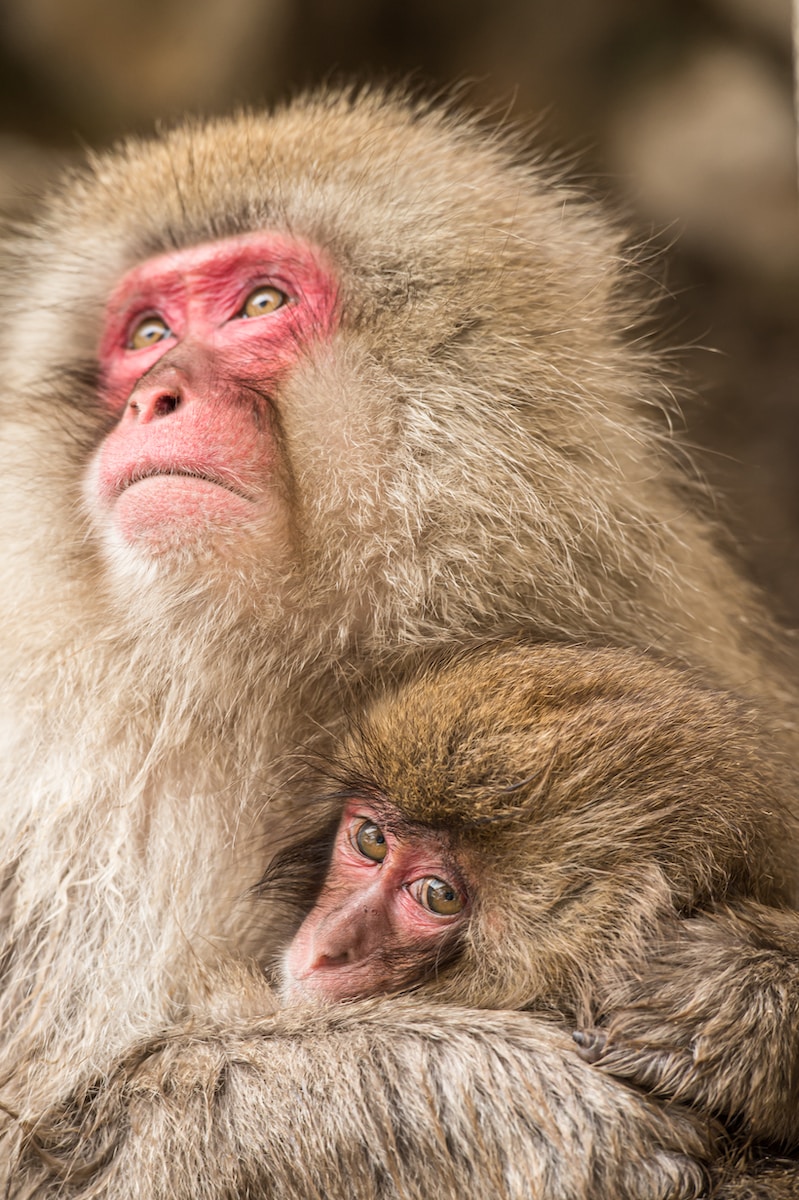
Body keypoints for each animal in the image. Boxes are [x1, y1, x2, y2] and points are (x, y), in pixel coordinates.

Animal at [0, 87, 796, 1197]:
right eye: (147, 330)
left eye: (259, 304)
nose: (153, 395)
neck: (274, 653)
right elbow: (58, 1135)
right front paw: (524, 1100)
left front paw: (749, 1003)